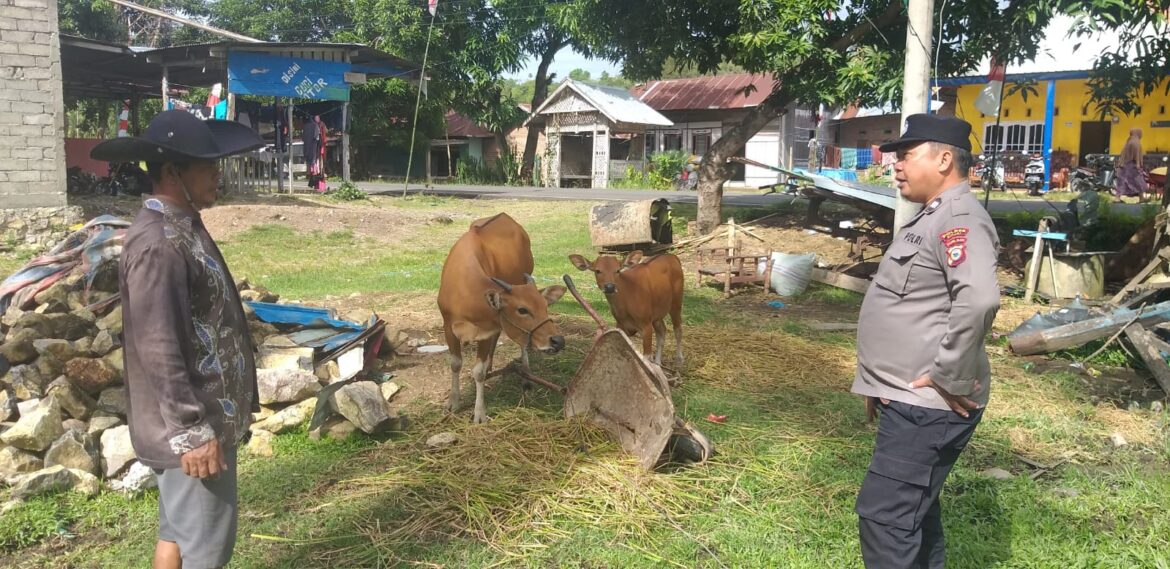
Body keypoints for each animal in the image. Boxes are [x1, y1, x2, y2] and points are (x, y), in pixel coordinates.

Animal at [439, 213, 566, 421]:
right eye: (522, 310)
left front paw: (479, 413)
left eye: (545, 307)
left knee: (521, 344)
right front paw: (453, 402)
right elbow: (456, 364)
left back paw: (526, 375)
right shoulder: (448, 325)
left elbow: (478, 372)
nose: (558, 341)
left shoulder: (485, 329)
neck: (464, 290)